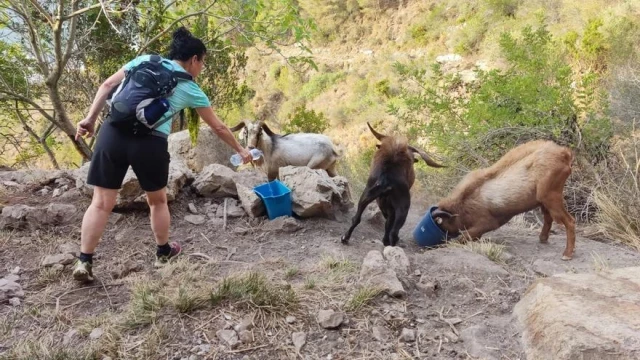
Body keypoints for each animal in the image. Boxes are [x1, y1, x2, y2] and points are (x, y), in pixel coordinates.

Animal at [430, 139, 576, 260]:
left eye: (442, 223)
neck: (464, 202)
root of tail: (564, 153)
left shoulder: (486, 223)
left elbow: (464, 237)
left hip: (550, 195)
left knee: (569, 221)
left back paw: (567, 254)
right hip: (544, 200)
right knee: (548, 217)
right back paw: (543, 239)